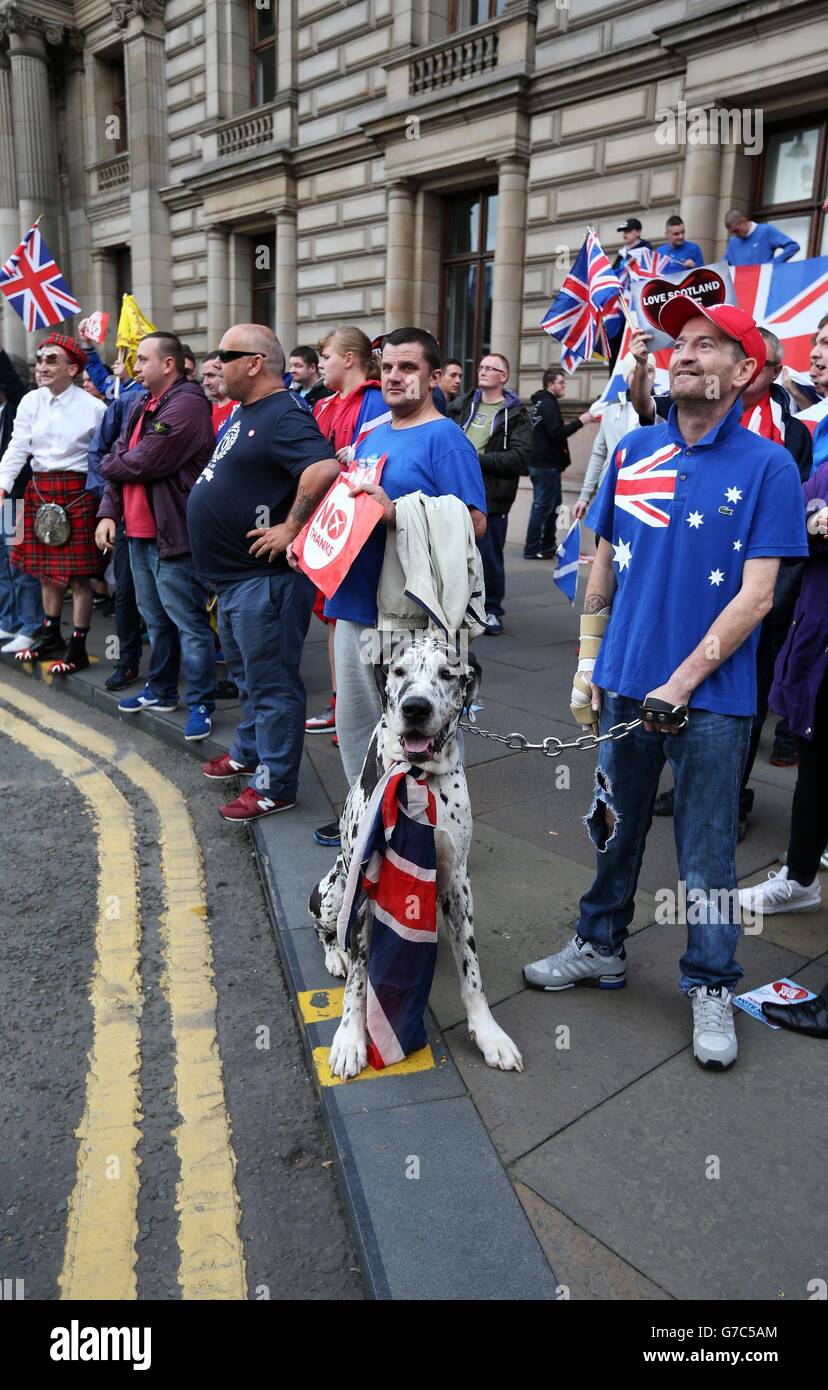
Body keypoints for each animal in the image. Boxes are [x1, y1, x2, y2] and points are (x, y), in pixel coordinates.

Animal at [311, 633, 525, 1084]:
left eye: (448, 673)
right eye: (398, 670)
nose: (416, 707)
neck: (416, 775)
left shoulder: (458, 884)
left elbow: (472, 972)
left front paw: (489, 1035)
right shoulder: (363, 886)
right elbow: (358, 981)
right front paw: (350, 1040)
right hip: (334, 890)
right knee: (326, 930)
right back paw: (336, 955)